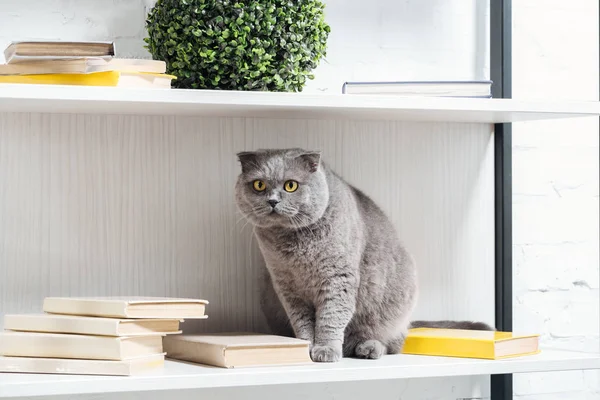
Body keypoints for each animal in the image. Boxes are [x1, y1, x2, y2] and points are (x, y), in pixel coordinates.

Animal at [234, 148, 492, 362]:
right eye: (259, 185)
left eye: (290, 185)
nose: (272, 201)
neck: (293, 243)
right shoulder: (286, 286)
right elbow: (302, 321)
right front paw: (305, 346)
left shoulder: (338, 278)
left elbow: (330, 317)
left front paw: (325, 350)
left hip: (397, 303)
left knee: (393, 342)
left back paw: (368, 348)